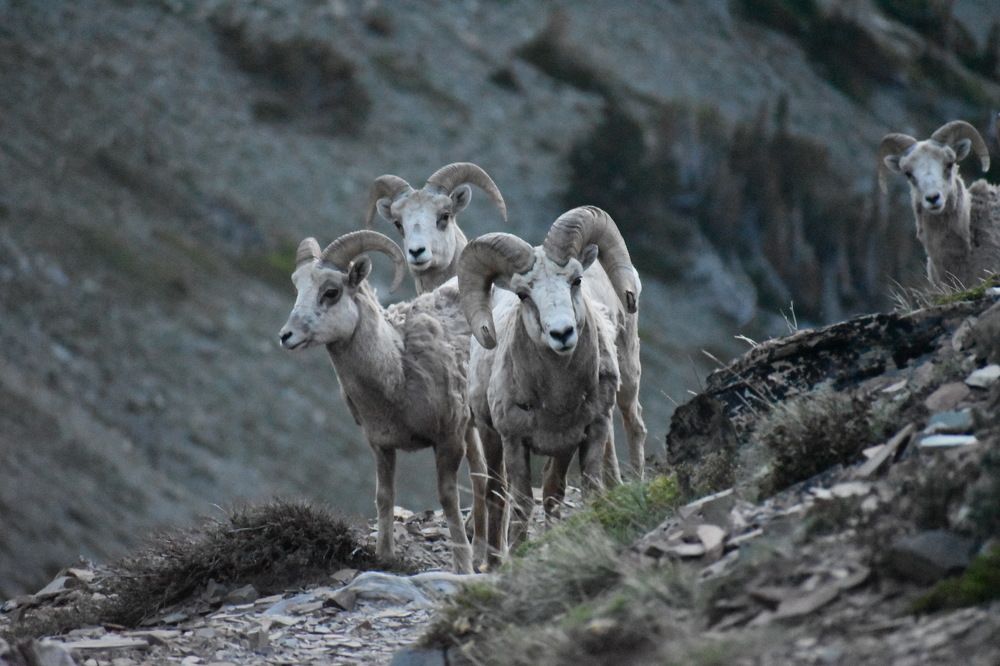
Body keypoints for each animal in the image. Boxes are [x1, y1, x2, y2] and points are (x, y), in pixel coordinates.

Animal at [277, 230, 491, 574]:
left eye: (331, 292)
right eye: (297, 286)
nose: (287, 336)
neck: (397, 371)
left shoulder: (447, 440)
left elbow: (448, 499)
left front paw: (462, 567)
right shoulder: (381, 445)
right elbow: (384, 496)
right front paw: (385, 556)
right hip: (470, 428)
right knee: (482, 476)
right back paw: (483, 551)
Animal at [457, 206, 642, 551]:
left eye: (576, 280)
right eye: (523, 294)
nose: (562, 333)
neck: (557, 398)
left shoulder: (591, 431)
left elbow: (588, 491)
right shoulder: (514, 441)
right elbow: (521, 504)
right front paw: (516, 554)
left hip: (621, 390)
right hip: (492, 437)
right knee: (497, 497)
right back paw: (492, 557)